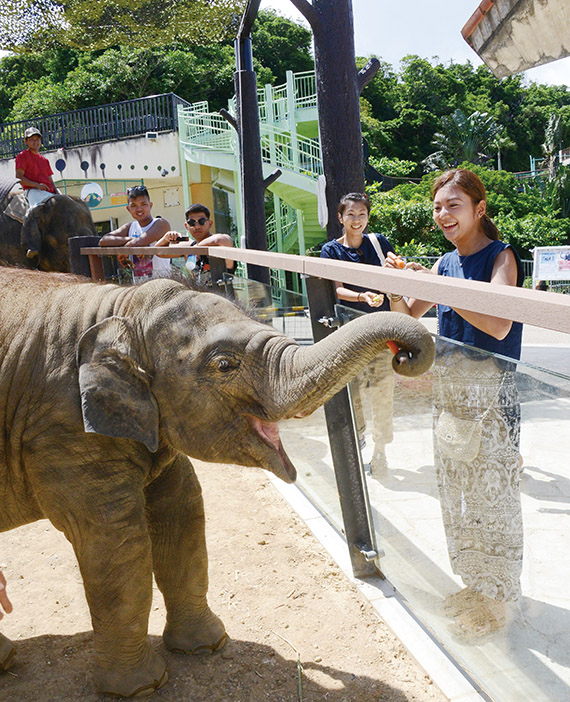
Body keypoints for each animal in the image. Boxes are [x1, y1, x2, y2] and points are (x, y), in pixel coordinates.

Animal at [0, 270, 432, 700]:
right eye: (224, 365)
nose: (401, 353)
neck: (119, 308)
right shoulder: (60, 429)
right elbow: (116, 542)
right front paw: (140, 687)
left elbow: (183, 512)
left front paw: (206, 646)